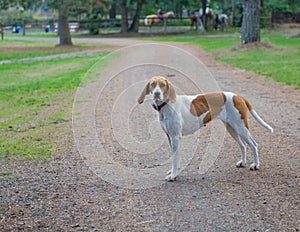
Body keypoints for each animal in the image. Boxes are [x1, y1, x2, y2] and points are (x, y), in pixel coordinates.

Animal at [137, 76, 274, 181]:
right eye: (152, 84)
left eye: (163, 85)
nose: (157, 93)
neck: (166, 105)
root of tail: (238, 96)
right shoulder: (169, 137)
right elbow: (173, 156)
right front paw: (173, 172)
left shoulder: (176, 137)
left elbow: (175, 158)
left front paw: (173, 175)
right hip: (232, 129)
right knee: (243, 145)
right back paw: (243, 162)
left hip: (241, 128)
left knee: (253, 144)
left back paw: (255, 165)